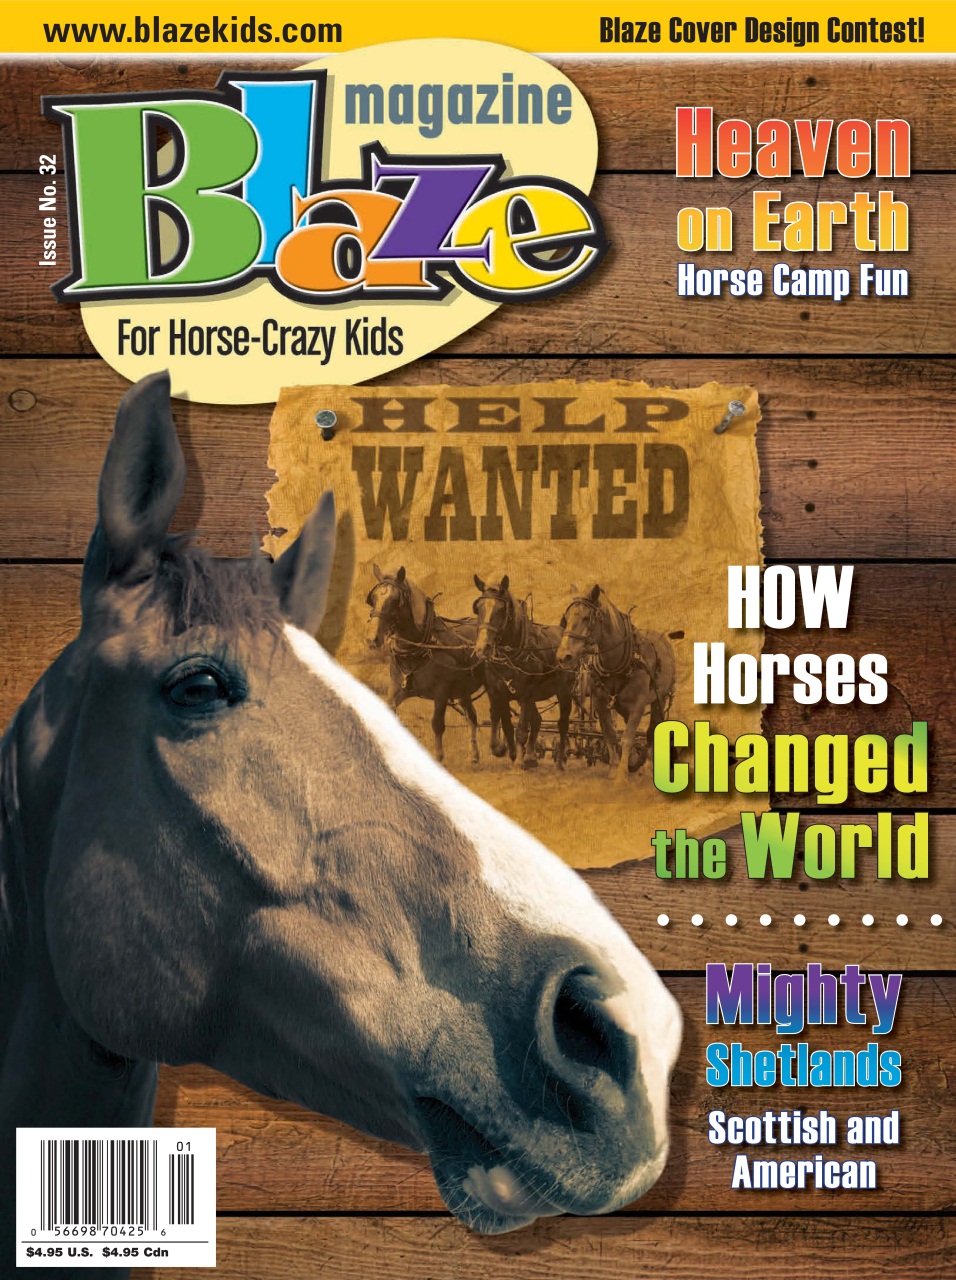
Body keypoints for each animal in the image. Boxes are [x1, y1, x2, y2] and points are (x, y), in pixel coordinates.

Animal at [365, 566, 497, 765]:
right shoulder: (396, 690)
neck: (418, 648)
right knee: (472, 717)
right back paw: (474, 754)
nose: (373, 639)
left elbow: (437, 724)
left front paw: (439, 757)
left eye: (395, 600)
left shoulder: (441, 693)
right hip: (463, 690)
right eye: (373, 598)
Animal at [472, 575, 574, 770]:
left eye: (501, 609)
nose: (482, 648)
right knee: (537, 720)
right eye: (478, 607)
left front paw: (518, 761)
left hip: (565, 691)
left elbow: (520, 730)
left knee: (563, 724)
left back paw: (560, 760)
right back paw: (531, 757)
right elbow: (504, 723)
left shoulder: (526, 694)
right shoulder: (498, 692)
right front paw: (506, 751)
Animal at [556, 584, 678, 784]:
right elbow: (611, 735)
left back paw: (647, 766)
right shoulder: (600, 702)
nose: (563, 656)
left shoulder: (639, 703)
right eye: (566, 618)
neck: (616, 662)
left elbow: (627, 737)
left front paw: (621, 776)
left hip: (660, 699)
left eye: (586, 617)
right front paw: (614, 769)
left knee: (652, 728)